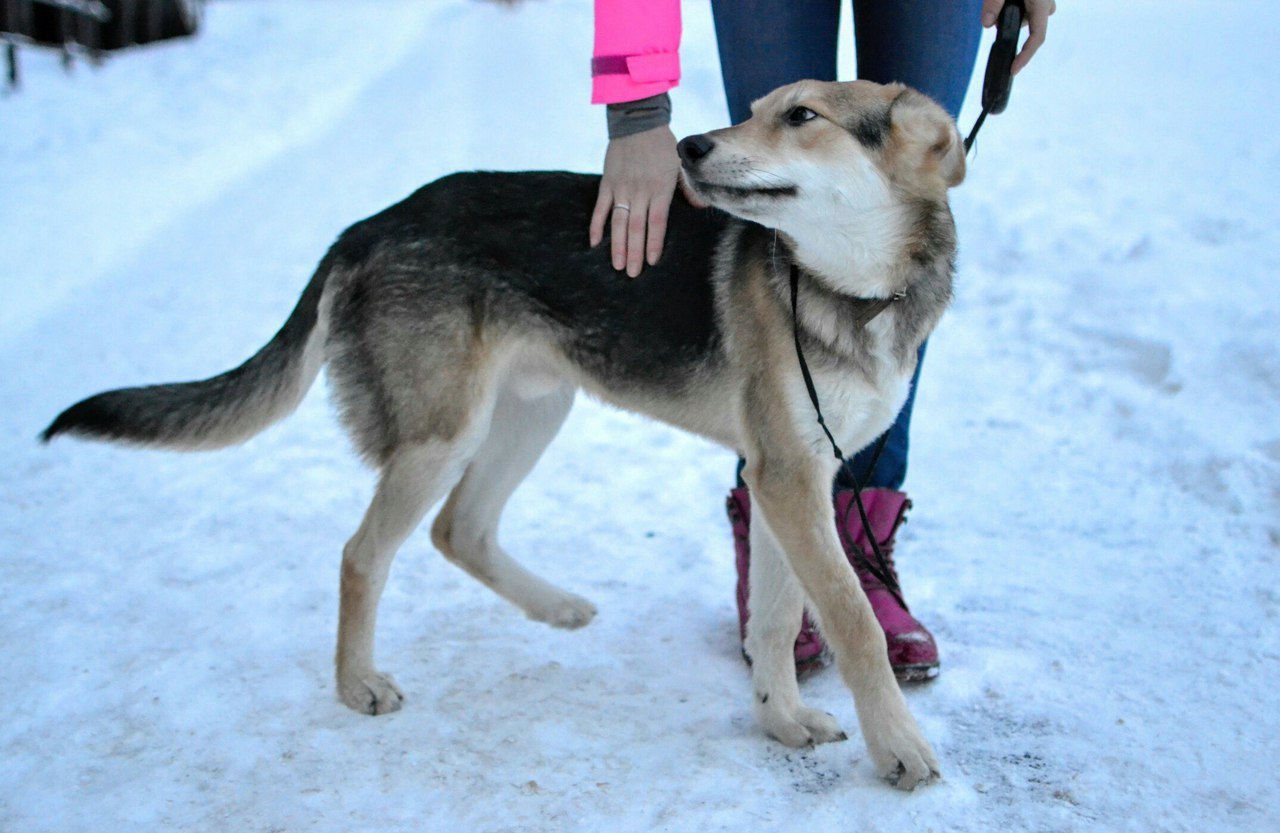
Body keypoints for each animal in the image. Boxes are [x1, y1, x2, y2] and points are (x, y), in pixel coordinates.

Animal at [42, 81, 962, 793]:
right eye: (756, 111)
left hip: (532, 411)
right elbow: (852, 621)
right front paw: (899, 747)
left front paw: (782, 721)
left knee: (461, 528)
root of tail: (368, 224)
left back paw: (553, 605)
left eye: (802, 116)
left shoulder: (790, 476)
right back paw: (357, 682)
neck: (854, 288)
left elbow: (776, 618)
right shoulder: (788, 481)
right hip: (442, 434)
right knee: (362, 553)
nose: (691, 146)